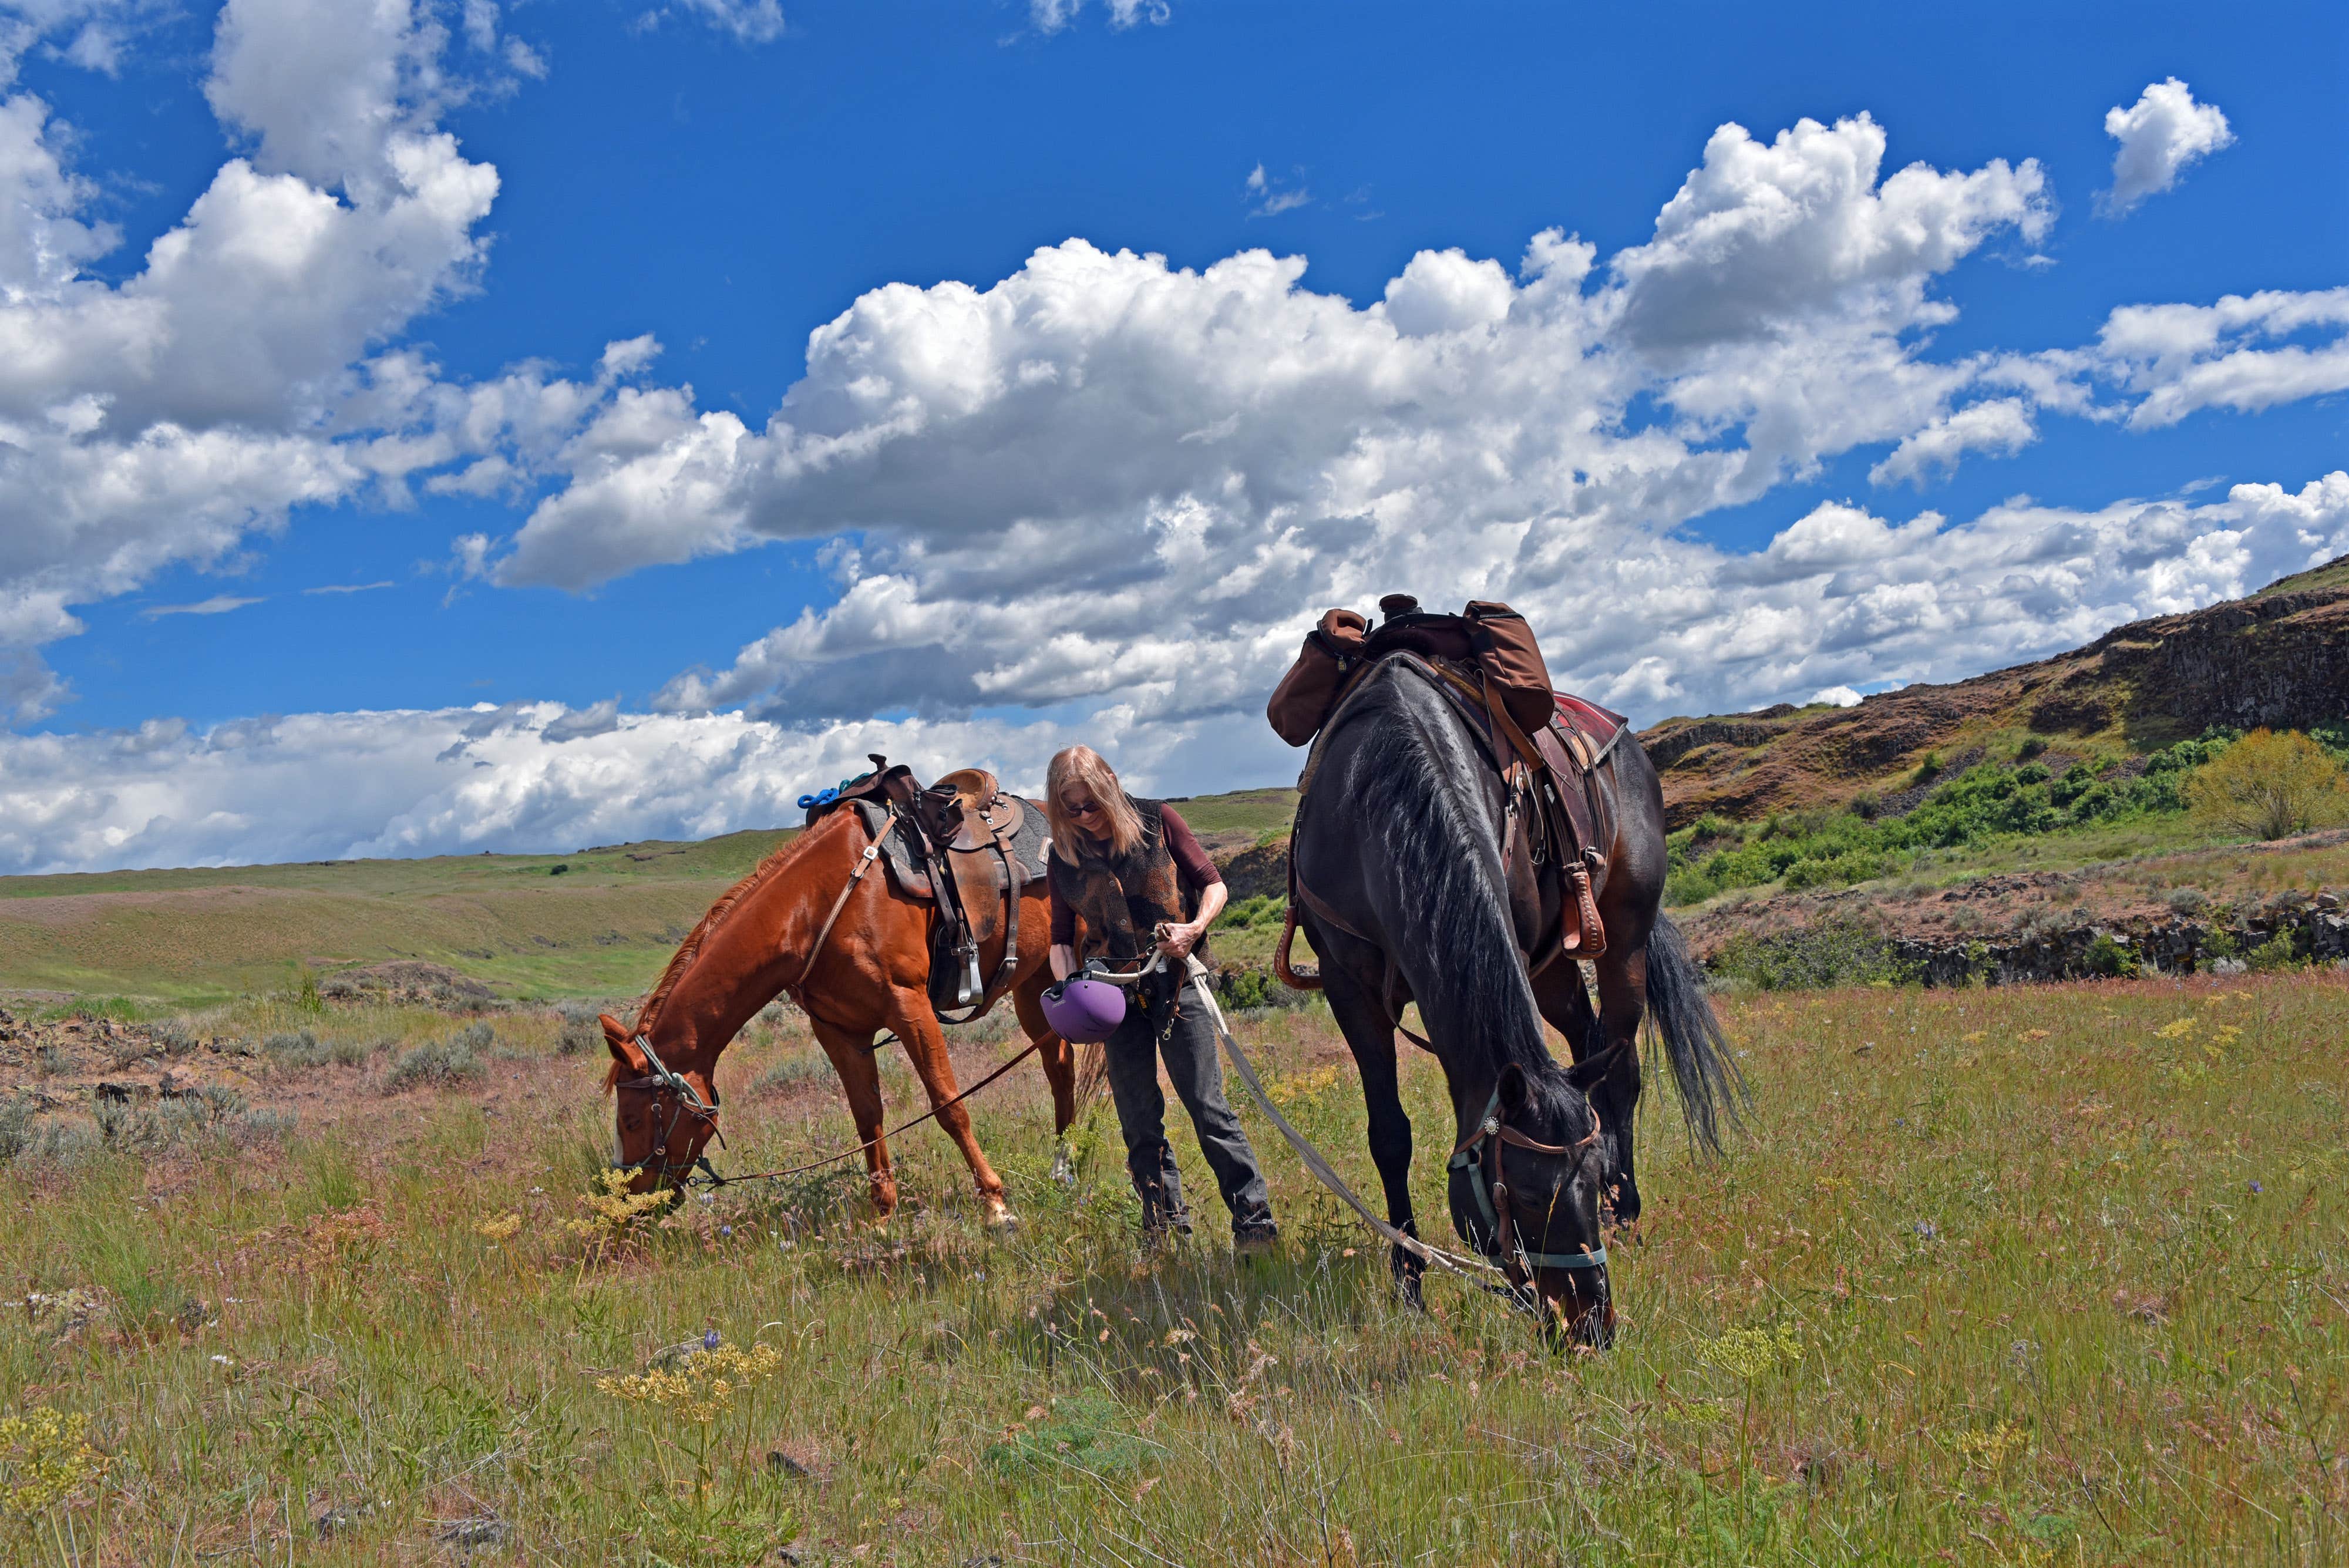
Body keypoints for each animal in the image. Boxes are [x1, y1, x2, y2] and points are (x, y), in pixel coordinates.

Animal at [606, 802, 1081, 1230]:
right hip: (1034, 985)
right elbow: (868, 1118)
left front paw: (995, 1205)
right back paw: (1065, 1165)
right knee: (1060, 1067)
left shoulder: (909, 1007)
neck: (812, 909)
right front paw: (883, 1216)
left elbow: (949, 1106)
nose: (631, 1202)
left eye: (631, 1120)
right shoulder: (839, 1031)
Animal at [1287, 657, 1748, 1342]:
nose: (1592, 1322)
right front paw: (1409, 1284)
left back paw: (1628, 1215)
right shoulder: (1349, 987)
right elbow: (1389, 1134)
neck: (1374, 795)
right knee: (1588, 1045)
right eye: (1528, 1196)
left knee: (1622, 1073)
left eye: (1587, 1176)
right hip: (1553, 969)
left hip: (1623, 939)